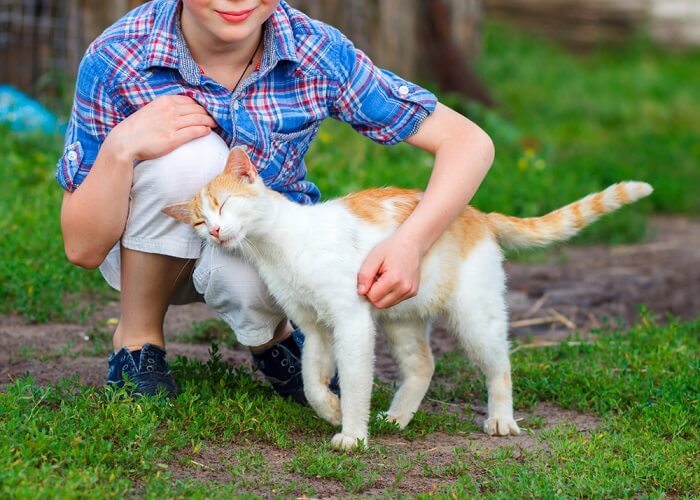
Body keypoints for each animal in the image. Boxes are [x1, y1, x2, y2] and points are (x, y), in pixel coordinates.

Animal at [163, 146, 652, 452]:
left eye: (224, 205)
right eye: (200, 223)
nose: (217, 231)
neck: (276, 249)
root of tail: (477, 214)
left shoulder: (351, 320)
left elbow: (355, 381)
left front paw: (353, 434)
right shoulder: (316, 328)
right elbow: (311, 381)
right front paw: (331, 412)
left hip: (476, 318)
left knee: (500, 366)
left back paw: (501, 421)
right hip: (400, 318)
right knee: (423, 366)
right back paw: (397, 417)